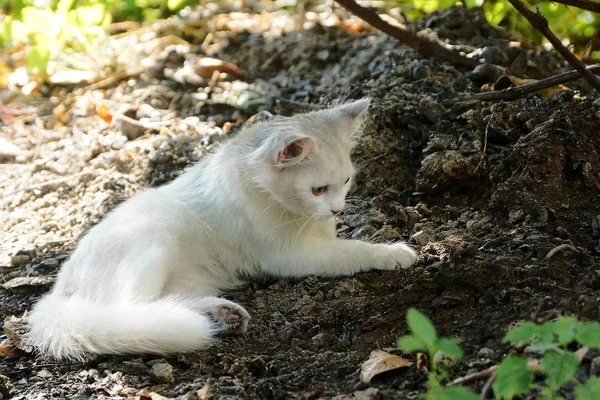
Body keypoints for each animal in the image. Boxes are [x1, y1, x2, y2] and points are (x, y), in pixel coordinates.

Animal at [27, 99, 418, 360]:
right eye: (318, 190)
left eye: (347, 181)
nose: (337, 209)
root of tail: (58, 291)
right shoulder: (292, 256)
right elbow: (353, 249)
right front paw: (392, 252)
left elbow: (344, 242)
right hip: (154, 239)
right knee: (129, 310)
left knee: (161, 306)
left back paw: (221, 316)